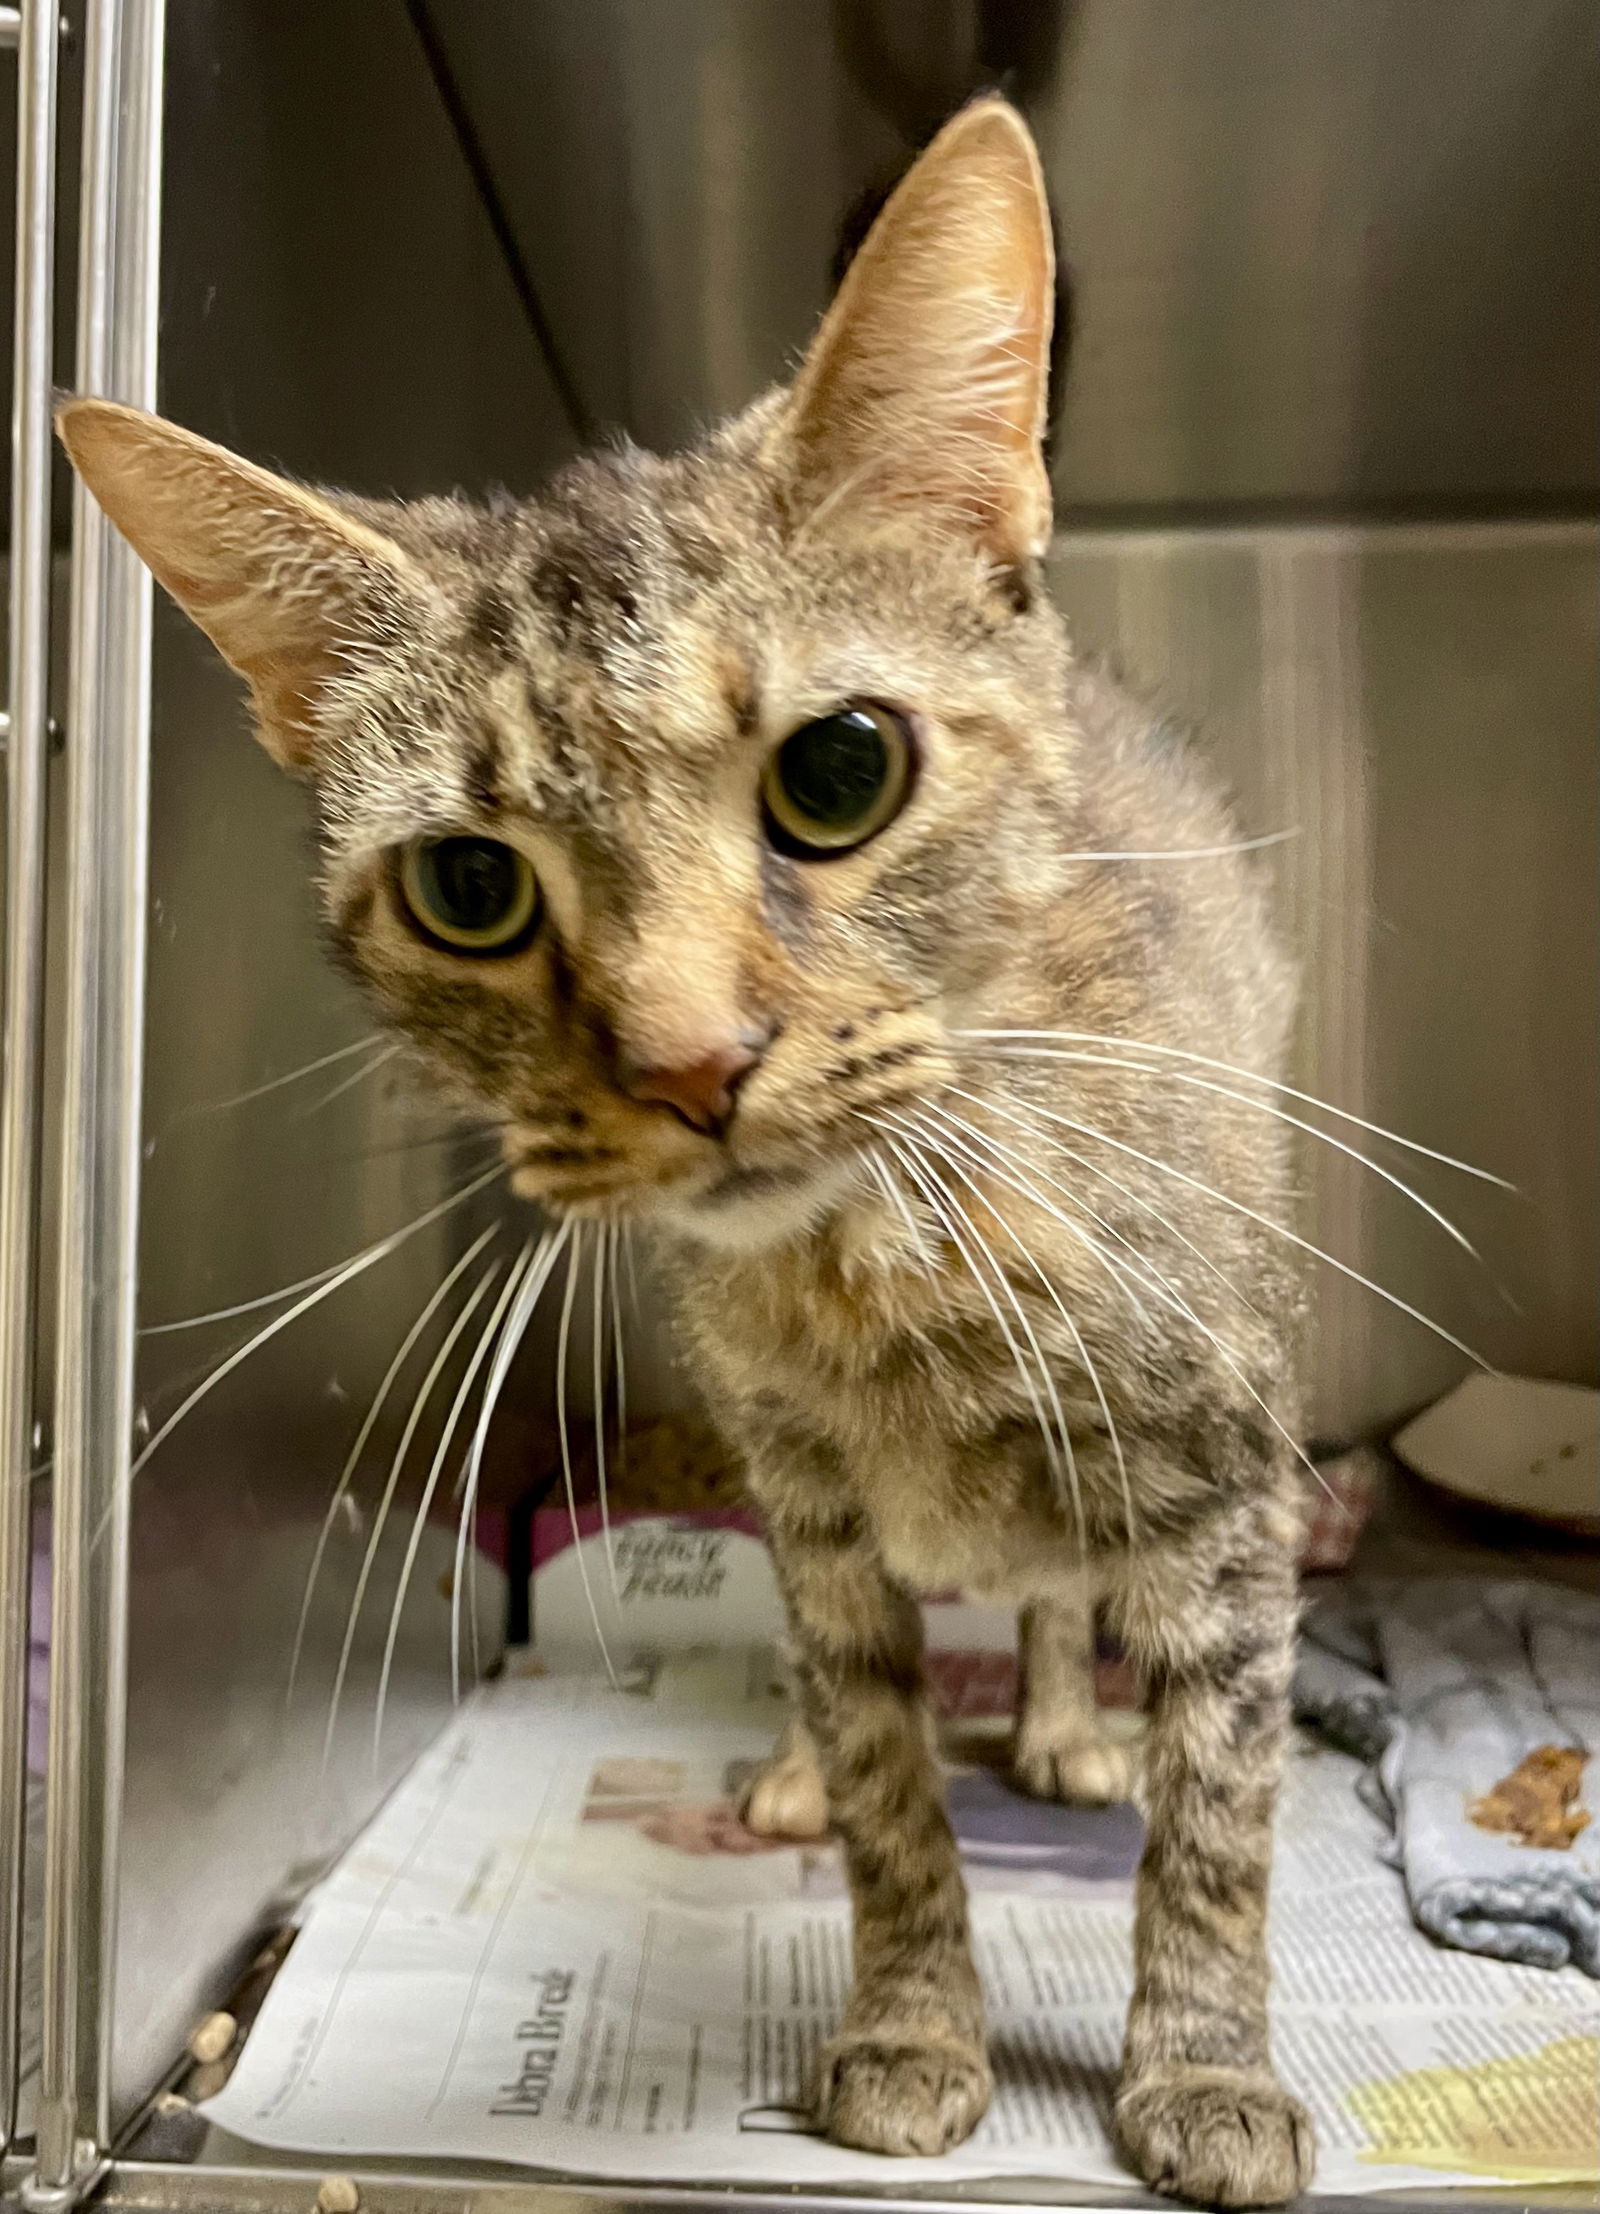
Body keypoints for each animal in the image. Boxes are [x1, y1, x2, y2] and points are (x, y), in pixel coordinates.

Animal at [62, 99, 1310, 2196]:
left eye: (842, 767)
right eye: (469, 885)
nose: (691, 1062)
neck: (886, 1253)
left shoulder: (1228, 1475)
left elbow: (1219, 1809)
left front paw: (1203, 2066)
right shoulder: (809, 1504)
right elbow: (893, 1783)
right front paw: (909, 2019)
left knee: (1065, 1596)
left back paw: (1068, 1710)